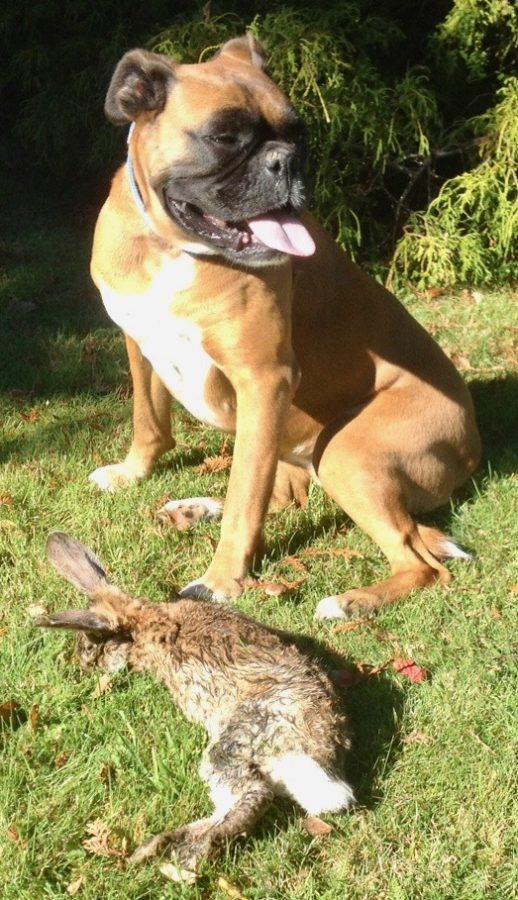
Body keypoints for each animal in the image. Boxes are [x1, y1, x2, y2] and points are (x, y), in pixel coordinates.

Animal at [35, 532, 355, 876]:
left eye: (91, 646)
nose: (84, 666)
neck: (145, 623)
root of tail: (317, 755)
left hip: (236, 741)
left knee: (252, 794)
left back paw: (175, 856)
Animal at [89, 35, 481, 618]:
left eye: (299, 134)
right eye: (224, 137)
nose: (286, 162)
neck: (171, 247)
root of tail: (473, 445)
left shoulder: (263, 377)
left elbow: (245, 499)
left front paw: (221, 581)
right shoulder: (139, 342)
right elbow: (149, 421)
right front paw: (131, 471)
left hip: (345, 453)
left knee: (420, 560)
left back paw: (351, 601)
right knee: (283, 492)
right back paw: (197, 506)